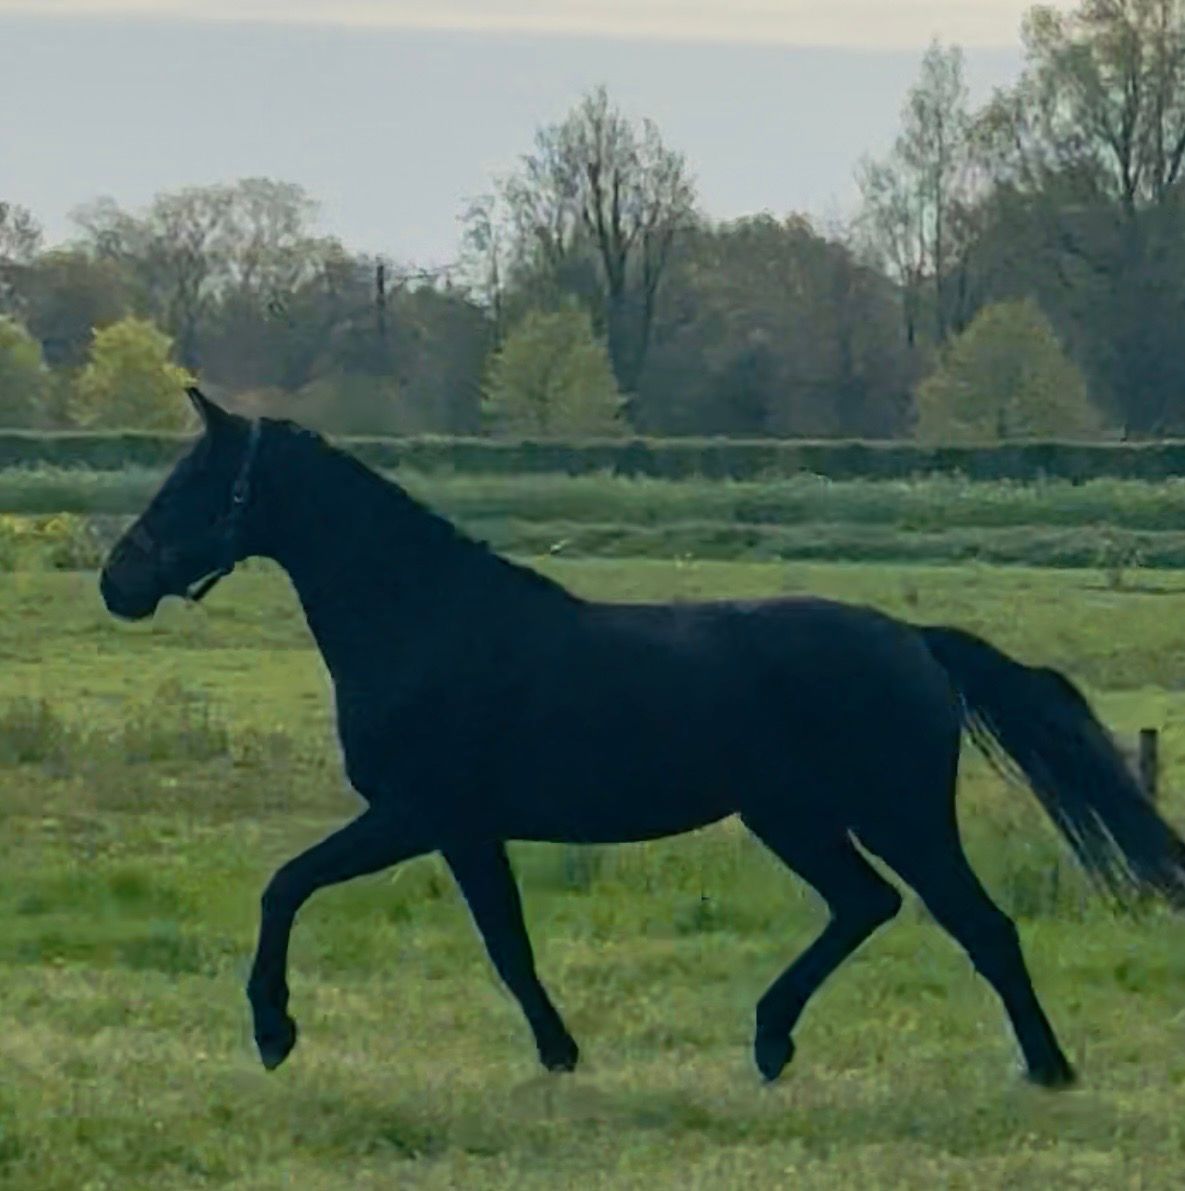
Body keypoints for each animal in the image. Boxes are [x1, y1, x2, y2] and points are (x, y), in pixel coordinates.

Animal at [99, 387, 1185, 1090]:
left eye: (192, 482)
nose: (118, 580)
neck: (428, 622)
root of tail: (915, 641)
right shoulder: (461, 829)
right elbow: (505, 943)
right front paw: (560, 1053)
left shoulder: (422, 815)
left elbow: (290, 886)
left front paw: (274, 1030)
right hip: (795, 818)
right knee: (865, 905)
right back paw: (771, 1042)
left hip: (896, 816)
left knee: (978, 925)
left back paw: (1045, 1068)